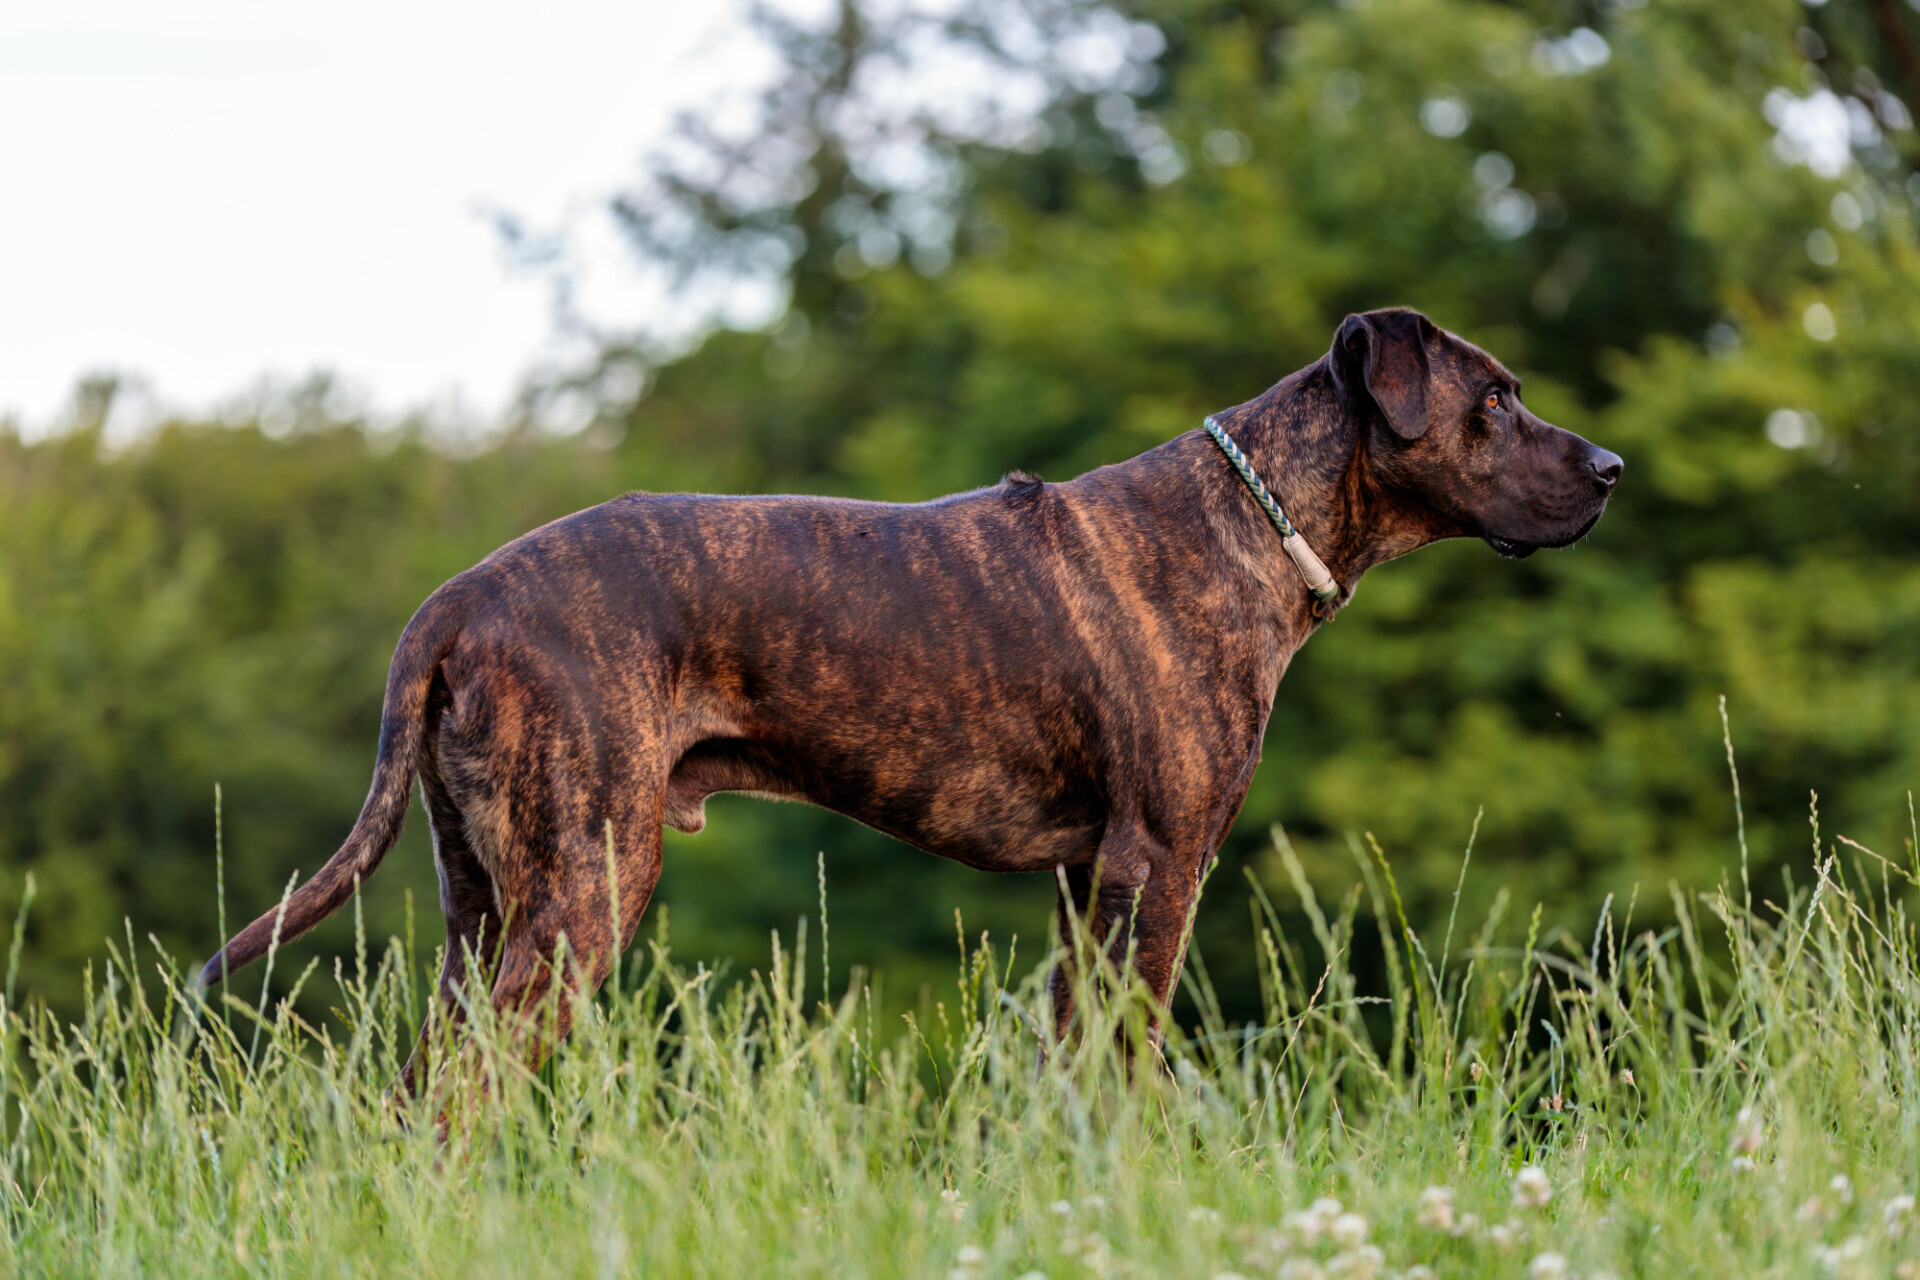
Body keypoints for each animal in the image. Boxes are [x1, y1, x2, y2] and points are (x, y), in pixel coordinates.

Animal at [202, 310, 1620, 1082]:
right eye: (1497, 398)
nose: (1611, 464)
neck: (1254, 522)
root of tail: (457, 599)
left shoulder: (1086, 885)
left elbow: (1079, 1061)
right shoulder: (1159, 865)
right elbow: (1135, 1061)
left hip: (484, 904)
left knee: (422, 1091)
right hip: (583, 888)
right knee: (466, 1093)